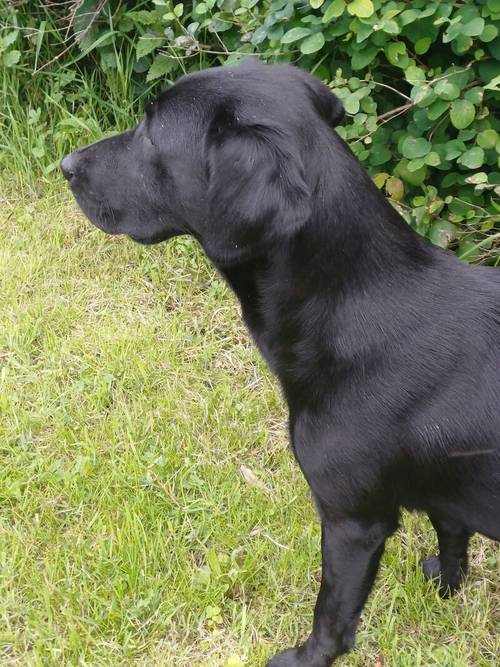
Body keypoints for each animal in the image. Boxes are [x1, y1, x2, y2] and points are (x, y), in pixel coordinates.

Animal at [60, 60, 498, 664]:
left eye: (152, 134)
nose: (65, 166)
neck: (357, 307)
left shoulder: (353, 521)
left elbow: (333, 613)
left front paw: (305, 657)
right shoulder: (445, 489)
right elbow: (453, 536)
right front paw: (445, 586)